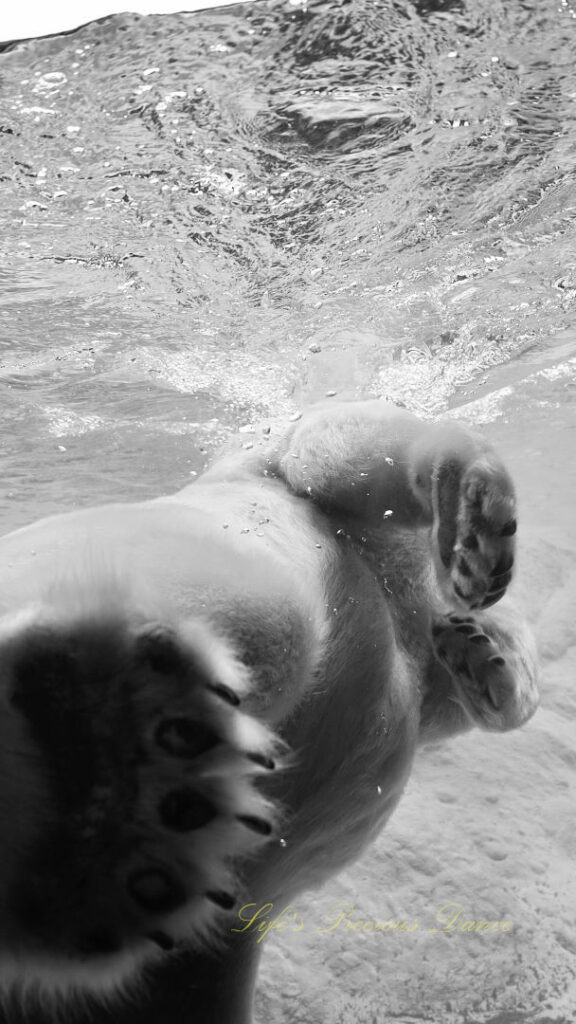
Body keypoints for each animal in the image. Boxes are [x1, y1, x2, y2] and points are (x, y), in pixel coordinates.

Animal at [0, 401, 537, 1024]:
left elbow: (461, 683)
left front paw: (479, 652)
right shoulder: (274, 477)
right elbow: (341, 444)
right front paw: (475, 527)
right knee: (264, 609)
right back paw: (87, 781)